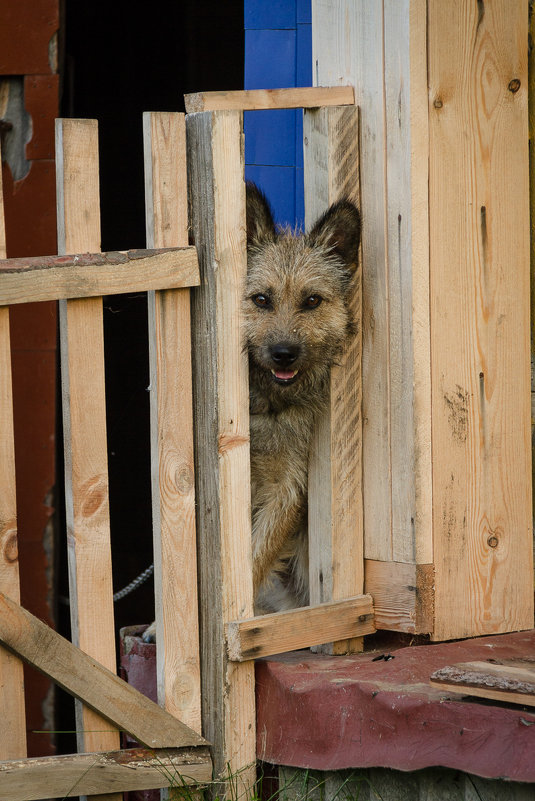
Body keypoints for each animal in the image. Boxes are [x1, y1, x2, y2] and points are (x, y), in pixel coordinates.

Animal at [246, 183, 362, 612]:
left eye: (312, 301)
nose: (284, 353)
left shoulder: (286, 489)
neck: (268, 407)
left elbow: (254, 557)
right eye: (261, 300)